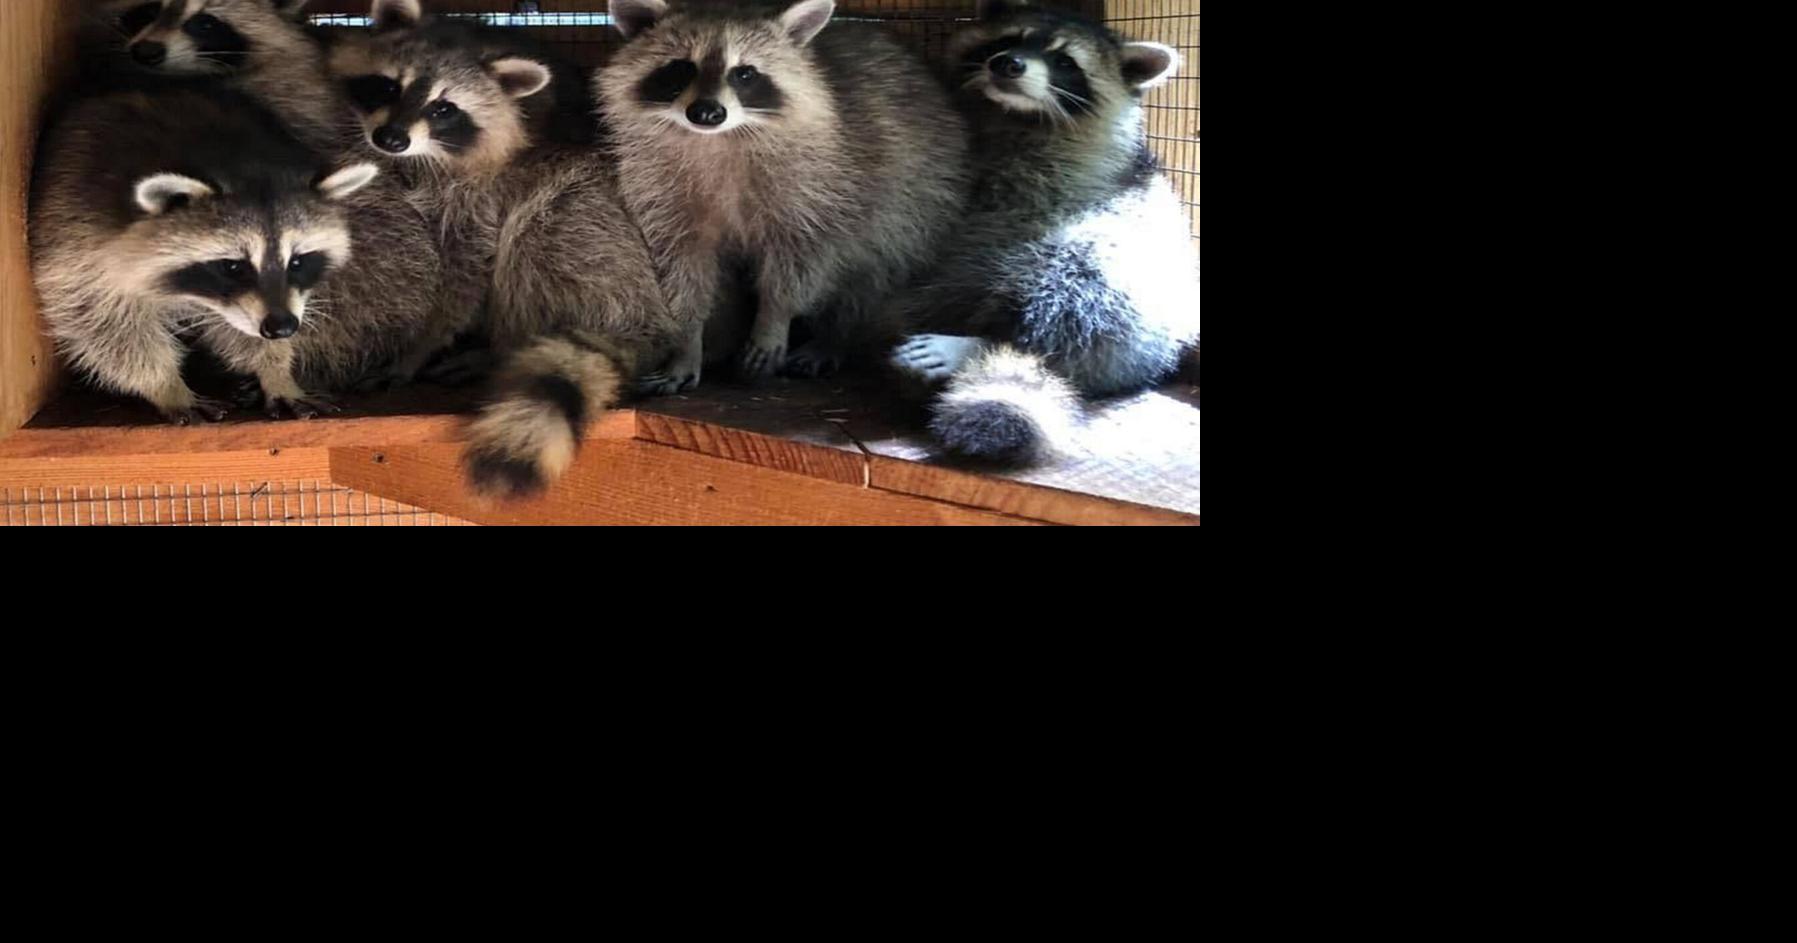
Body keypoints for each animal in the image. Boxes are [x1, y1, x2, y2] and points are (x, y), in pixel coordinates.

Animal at [30, 85, 379, 422]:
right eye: (233, 267)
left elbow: (240, 328)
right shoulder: (79, 233)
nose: (281, 328)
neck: (235, 161)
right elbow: (100, 322)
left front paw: (275, 372)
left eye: (297, 261)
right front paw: (166, 385)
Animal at [336, 0, 679, 500]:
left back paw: (501, 345)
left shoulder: (480, 200)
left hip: (594, 238)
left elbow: (465, 275)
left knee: (535, 242)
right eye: (387, 86)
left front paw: (421, 343)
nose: (390, 138)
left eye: (443, 108)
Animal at [599, 0, 970, 386]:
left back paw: (834, 337)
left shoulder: (820, 187)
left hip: (918, 198)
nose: (706, 112)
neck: (720, 139)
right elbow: (684, 267)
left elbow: (801, 259)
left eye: (744, 74)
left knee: (873, 270)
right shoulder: (660, 191)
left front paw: (773, 320)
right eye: (683, 68)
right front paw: (688, 342)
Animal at [888, 0, 1200, 463]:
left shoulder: (1113, 181)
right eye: (1006, 41)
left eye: (1064, 61)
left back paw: (985, 342)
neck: (1015, 117)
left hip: (1147, 283)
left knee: (1084, 274)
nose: (1008, 64)